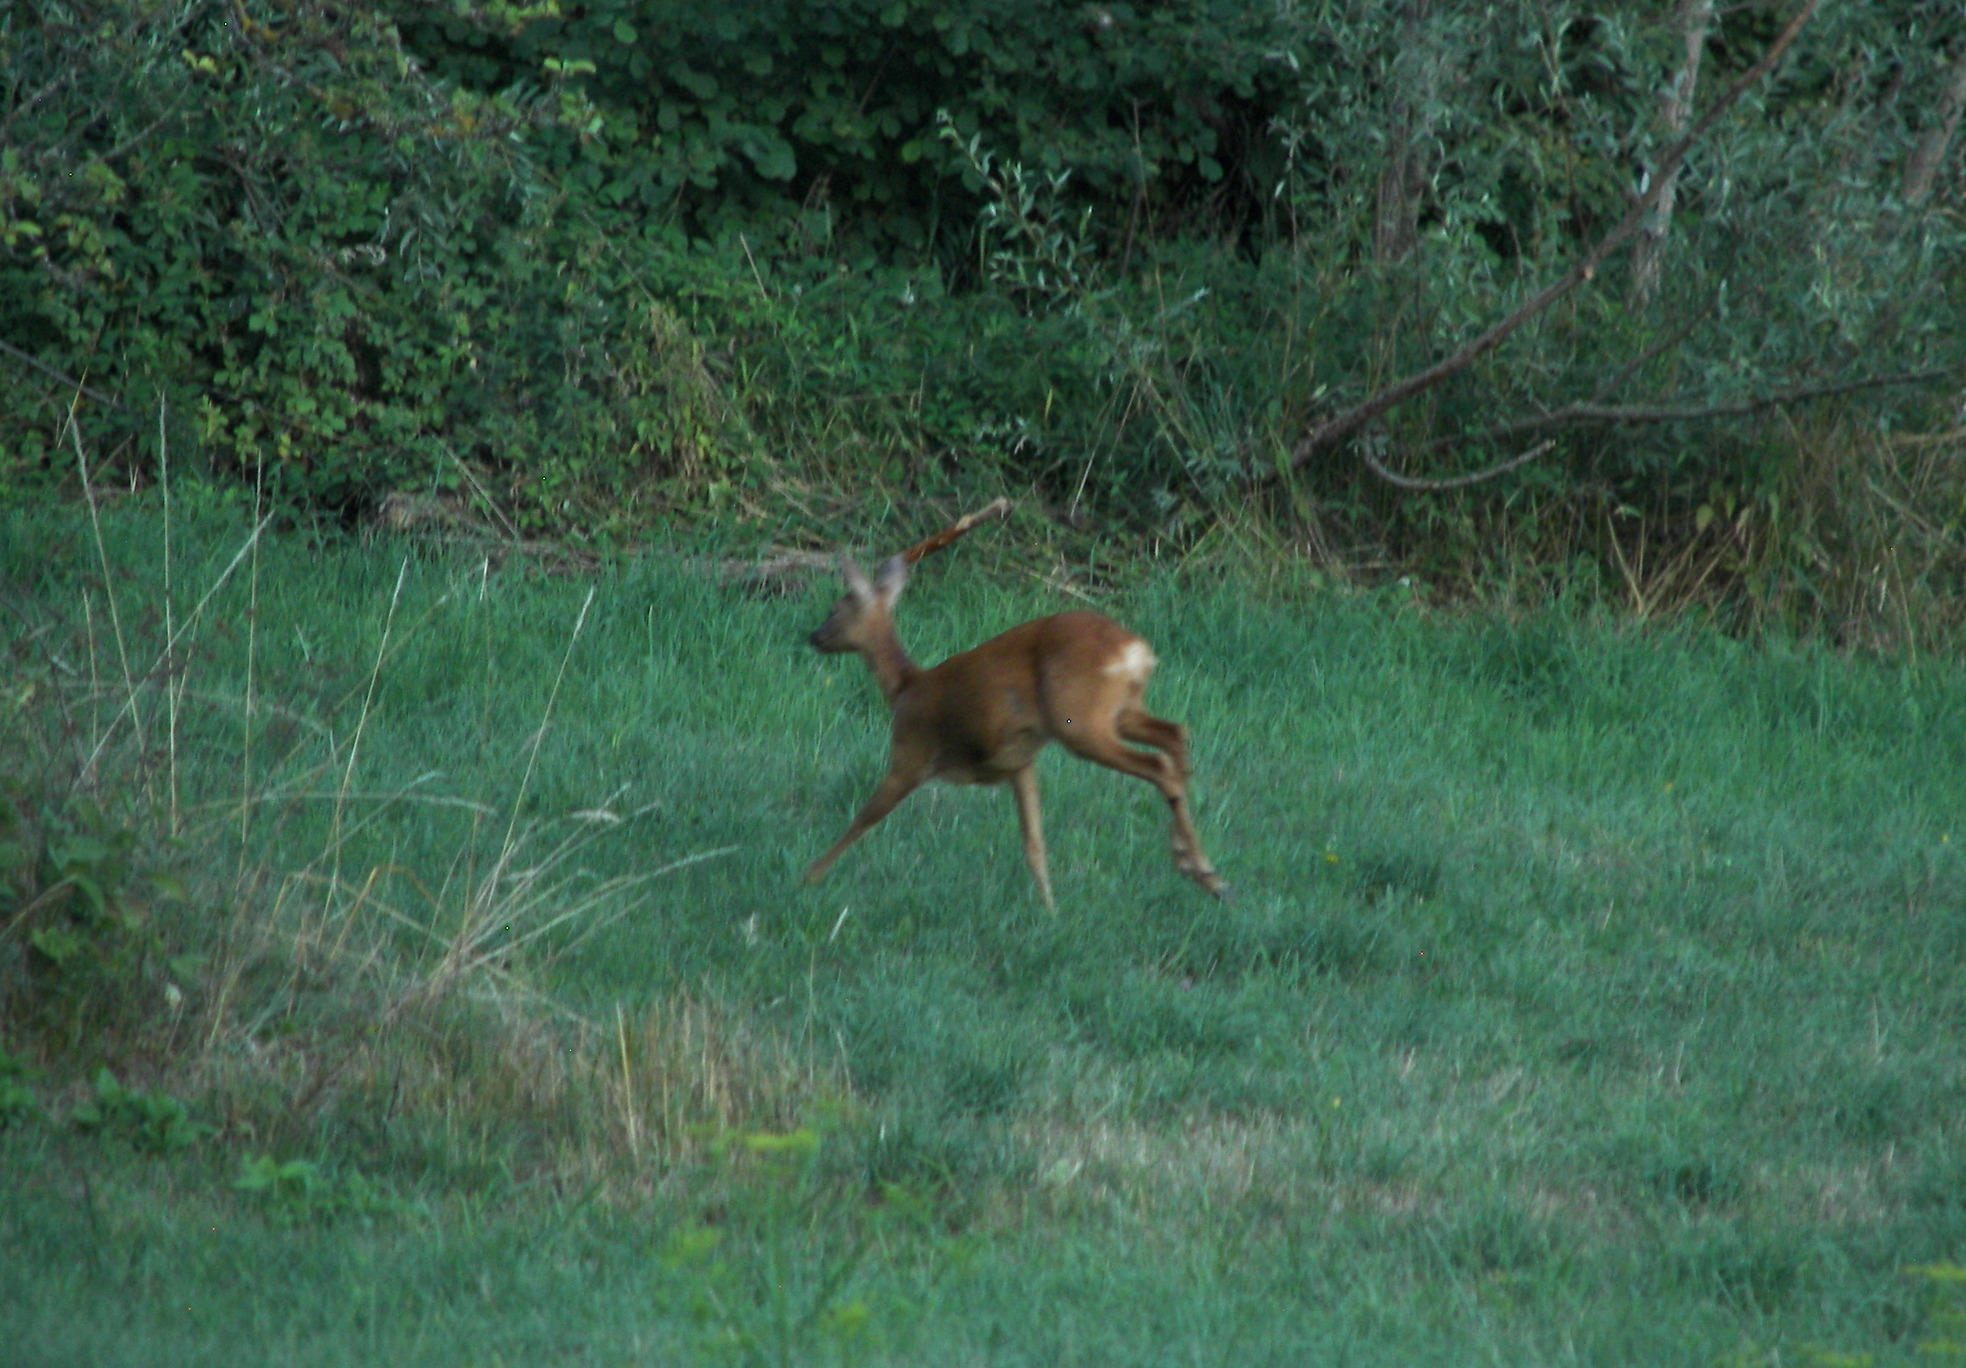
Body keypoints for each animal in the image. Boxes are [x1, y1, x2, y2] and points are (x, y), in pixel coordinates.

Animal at [802, 550, 1226, 912]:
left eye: (835, 608)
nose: (814, 636)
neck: (905, 687)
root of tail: (1136, 650)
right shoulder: (1020, 763)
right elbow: (1034, 843)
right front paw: (1050, 912)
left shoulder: (910, 753)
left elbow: (864, 818)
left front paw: (809, 878)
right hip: (1122, 710)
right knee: (1175, 735)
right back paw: (1199, 867)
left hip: (1080, 722)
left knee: (1158, 763)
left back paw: (1203, 870)